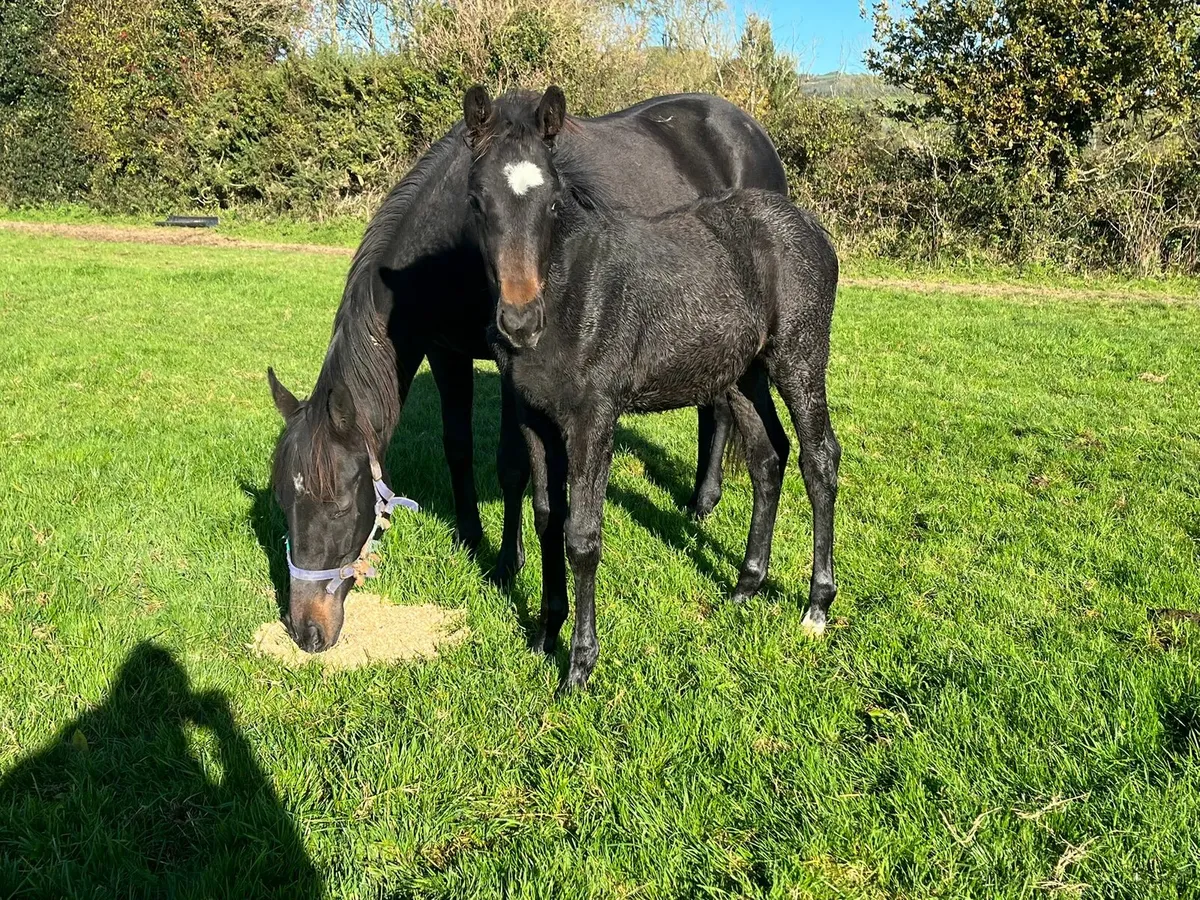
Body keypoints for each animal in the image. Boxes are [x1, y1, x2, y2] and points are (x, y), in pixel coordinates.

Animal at [266, 90, 788, 653]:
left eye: (340, 504)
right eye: (283, 502)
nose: (306, 630)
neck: (447, 247)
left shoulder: (512, 368)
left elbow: (513, 466)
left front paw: (507, 562)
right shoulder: (445, 351)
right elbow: (458, 446)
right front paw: (470, 536)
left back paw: (703, 502)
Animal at [464, 85, 841, 693]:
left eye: (552, 203)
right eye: (477, 200)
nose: (519, 322)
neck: (570, 292)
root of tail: (810, 226)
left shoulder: (593, 418)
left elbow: (581, 536)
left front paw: (579, 666)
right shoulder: (534, 417)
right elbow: (546, 519)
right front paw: (545, 633)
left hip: (799, 358)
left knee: (819, 458)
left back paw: (816, 606)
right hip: (741, 375)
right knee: (768, 456)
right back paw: (746, 585)